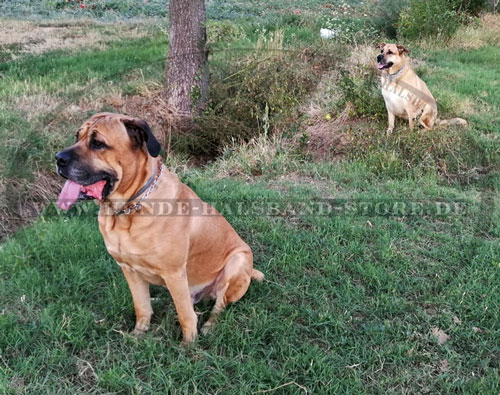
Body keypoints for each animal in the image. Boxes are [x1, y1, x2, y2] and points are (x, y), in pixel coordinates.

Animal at [55, 112, 264, 344]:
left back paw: (209, 326)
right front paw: (138, 334)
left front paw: (188, 345)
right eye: (77, 137)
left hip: (237, 262)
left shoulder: (174, 273)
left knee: (219, 306)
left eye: (98, 143)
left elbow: (185, 315)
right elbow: (141, 305)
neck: (128, 211)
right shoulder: (128, 268)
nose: (58, 159)